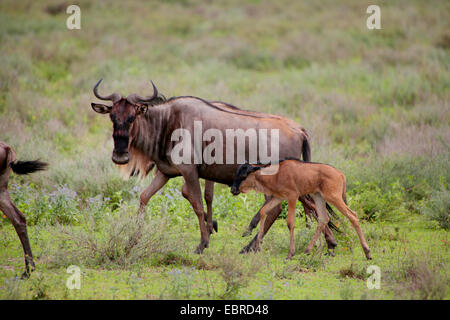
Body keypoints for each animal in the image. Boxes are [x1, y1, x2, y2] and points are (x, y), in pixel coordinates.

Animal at [230, 159, 370, 262]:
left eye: (243, 175)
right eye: (236, 173)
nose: (232, 189)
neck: (276, 174)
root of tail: (340, 174)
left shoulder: (292, 197)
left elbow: (290, 222)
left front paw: (290, 254)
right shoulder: (279, 197)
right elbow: (263, 211)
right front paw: (258, 247)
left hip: (334, 197)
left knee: (353, 215)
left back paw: (367, 252)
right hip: (318, 197)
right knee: (324, 219)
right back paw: (308, 250)